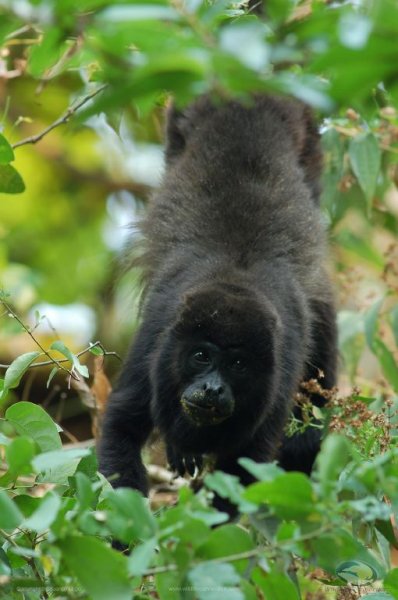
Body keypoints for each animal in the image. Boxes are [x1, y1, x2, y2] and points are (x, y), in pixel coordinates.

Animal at [98, 94, 336, 496]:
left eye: (238, 364)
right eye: (200, 356)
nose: (211, 388)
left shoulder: (281, 361)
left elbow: (247, 464)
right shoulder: (157, 334)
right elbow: (121, 425)